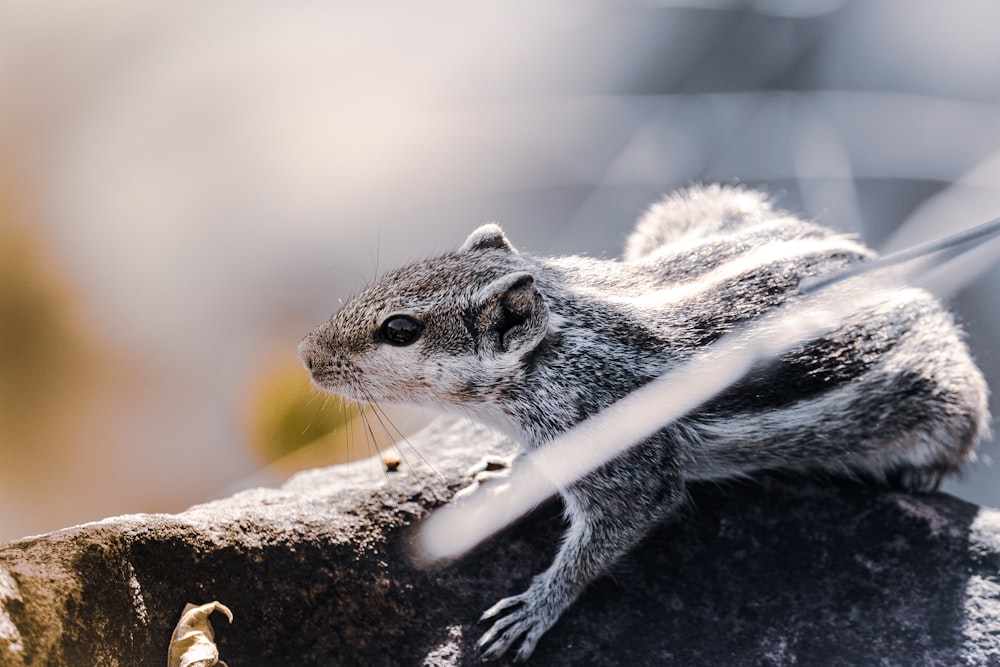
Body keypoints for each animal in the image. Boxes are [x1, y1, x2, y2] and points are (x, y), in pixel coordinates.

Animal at [296, 184, 992, 664]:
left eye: (400, 331)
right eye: (390, 277)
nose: (305, 355)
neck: (563, 343)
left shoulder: (626, 464)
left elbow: (608, 537)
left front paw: (534, 609)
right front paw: (501, 474)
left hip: (942, 395)